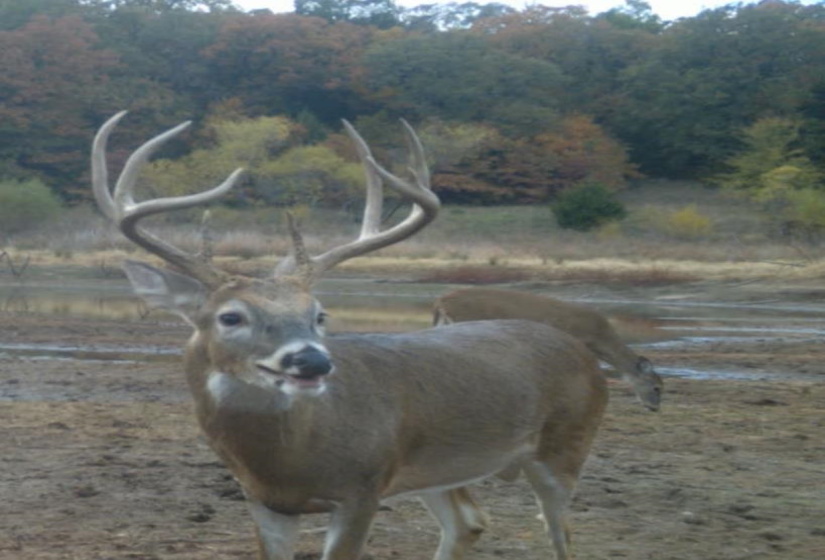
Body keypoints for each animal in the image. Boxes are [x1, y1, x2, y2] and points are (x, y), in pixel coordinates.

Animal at [93, 112, 608, 560]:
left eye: (319, 314)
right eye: (231, 317)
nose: (313, 361)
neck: (288, 462)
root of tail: (584, 355)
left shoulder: (364, 486)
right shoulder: (263, 501)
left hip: (567, 446)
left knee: (561, 533)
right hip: (437, 468)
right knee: (470, 522)